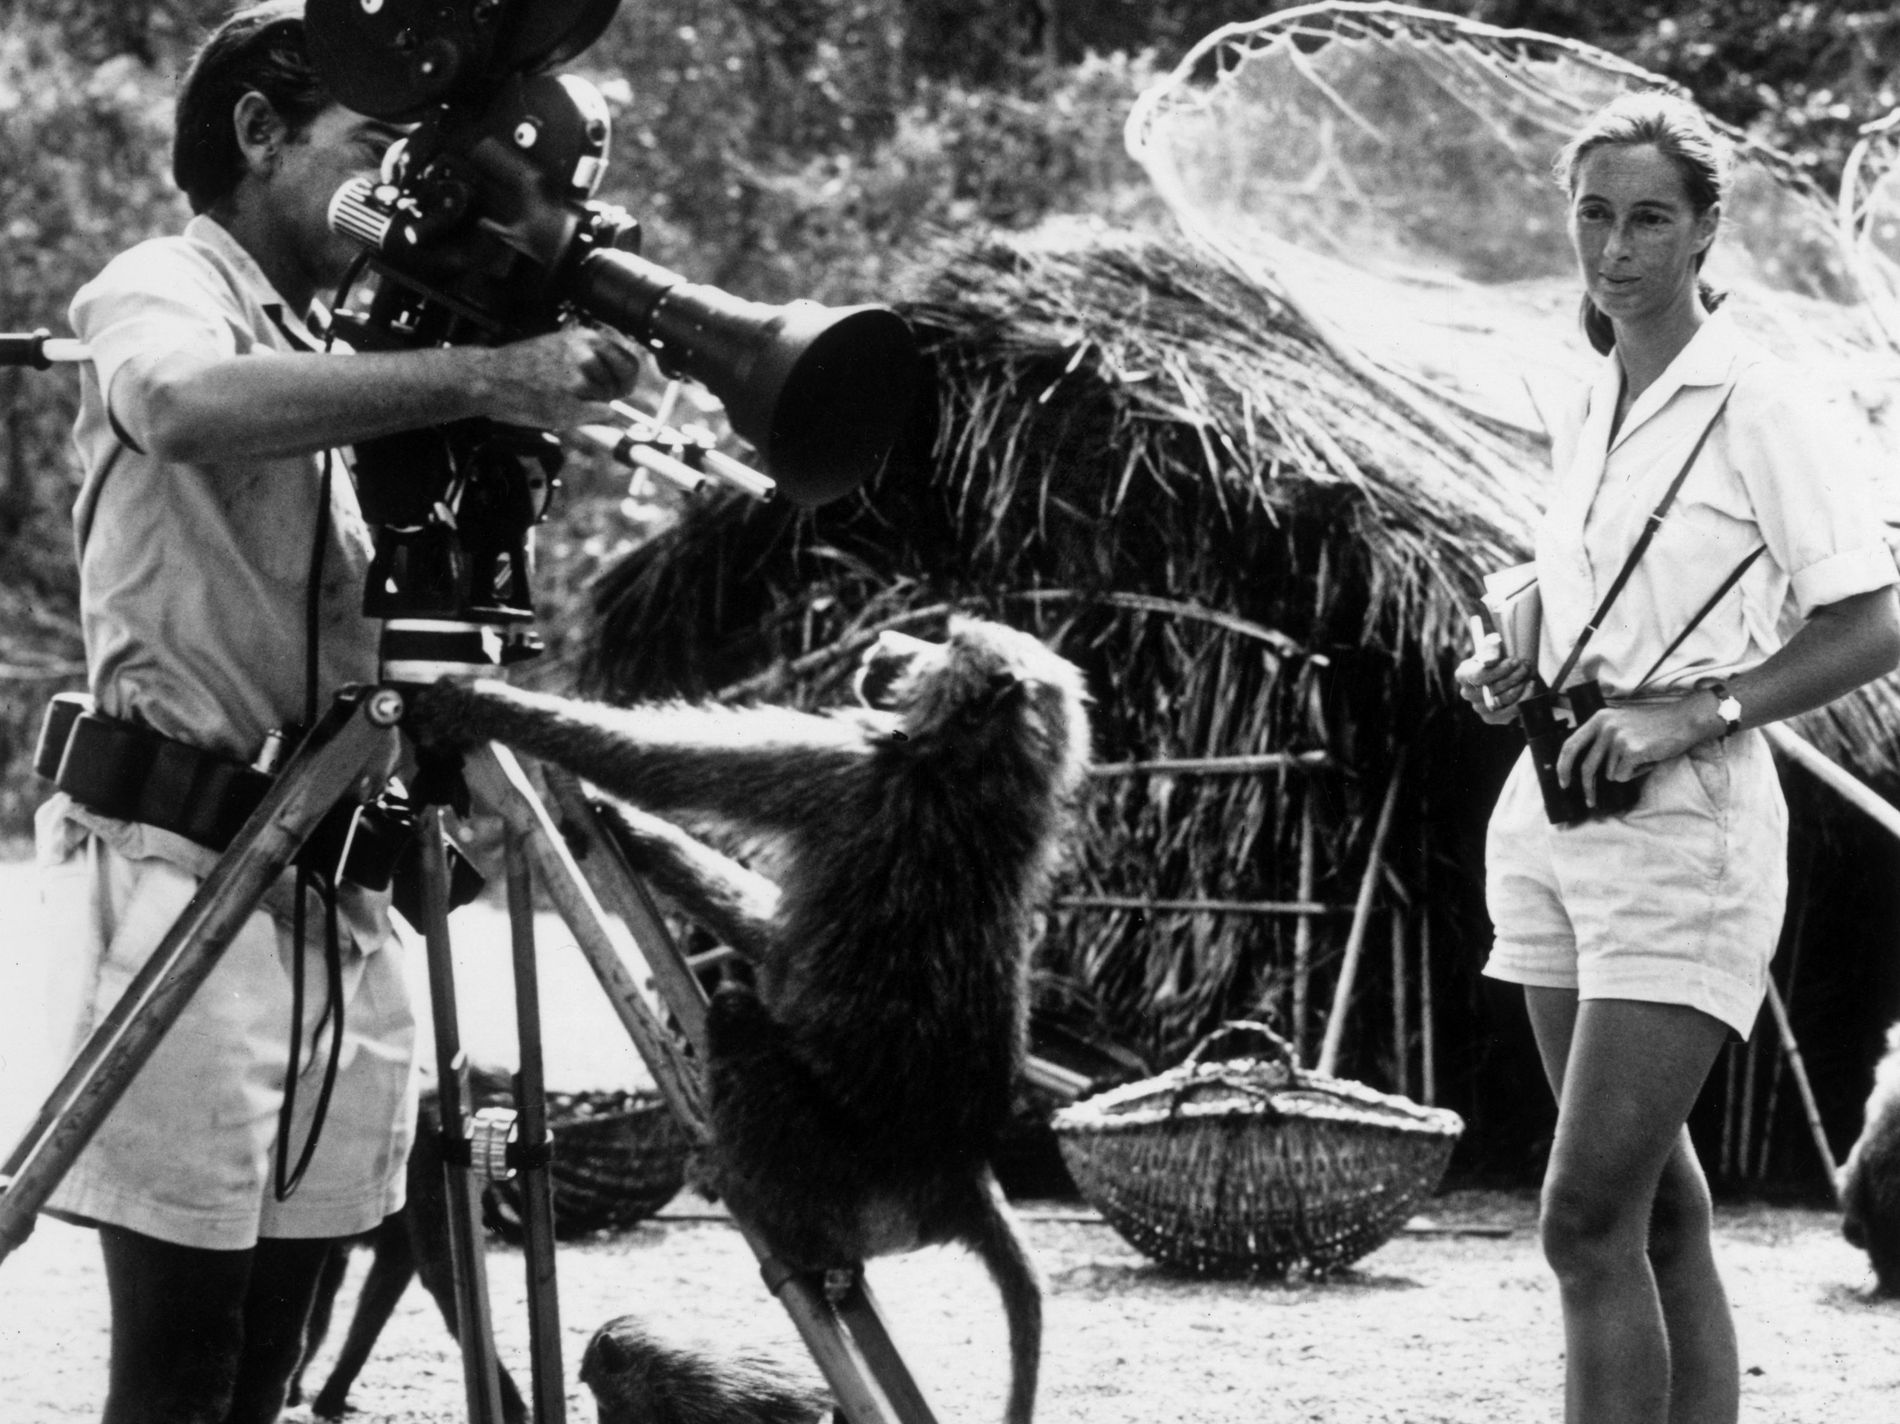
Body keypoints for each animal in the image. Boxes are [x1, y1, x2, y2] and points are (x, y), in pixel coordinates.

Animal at [407, 616, 1093, 1424]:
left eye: (945, 641)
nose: (888, 642)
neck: (979, 773)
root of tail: (958, 1175)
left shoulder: (848, 768)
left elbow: (652, 764)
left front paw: (479, 705)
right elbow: (772, 937)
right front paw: (632, 835)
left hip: (836, 1182)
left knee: (736, 1015)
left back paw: (766, 1216)